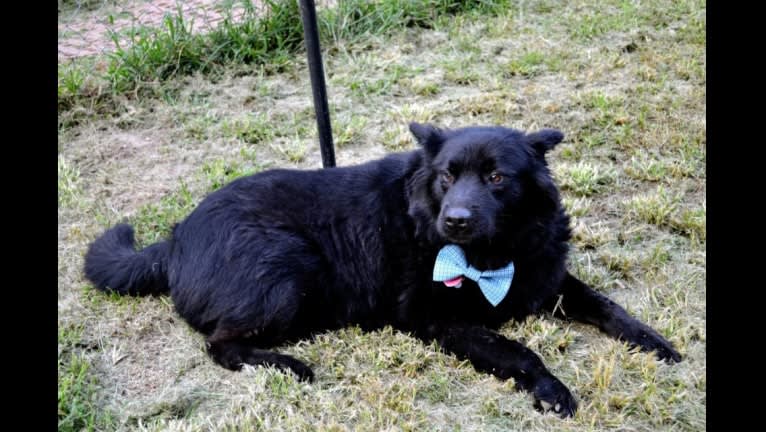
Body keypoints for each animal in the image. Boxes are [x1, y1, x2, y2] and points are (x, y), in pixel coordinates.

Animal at [85, 122, 684, 418]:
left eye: (496, 177)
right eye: (447, 176)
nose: (455, 220)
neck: (494, 252)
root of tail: (173, 239)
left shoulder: (547, 279)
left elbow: (609, 307)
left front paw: (655, 342)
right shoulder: (435, 319)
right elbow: (518, 350)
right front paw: (549, 387)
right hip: (288, 268)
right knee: (220, 344)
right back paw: (286, 364)